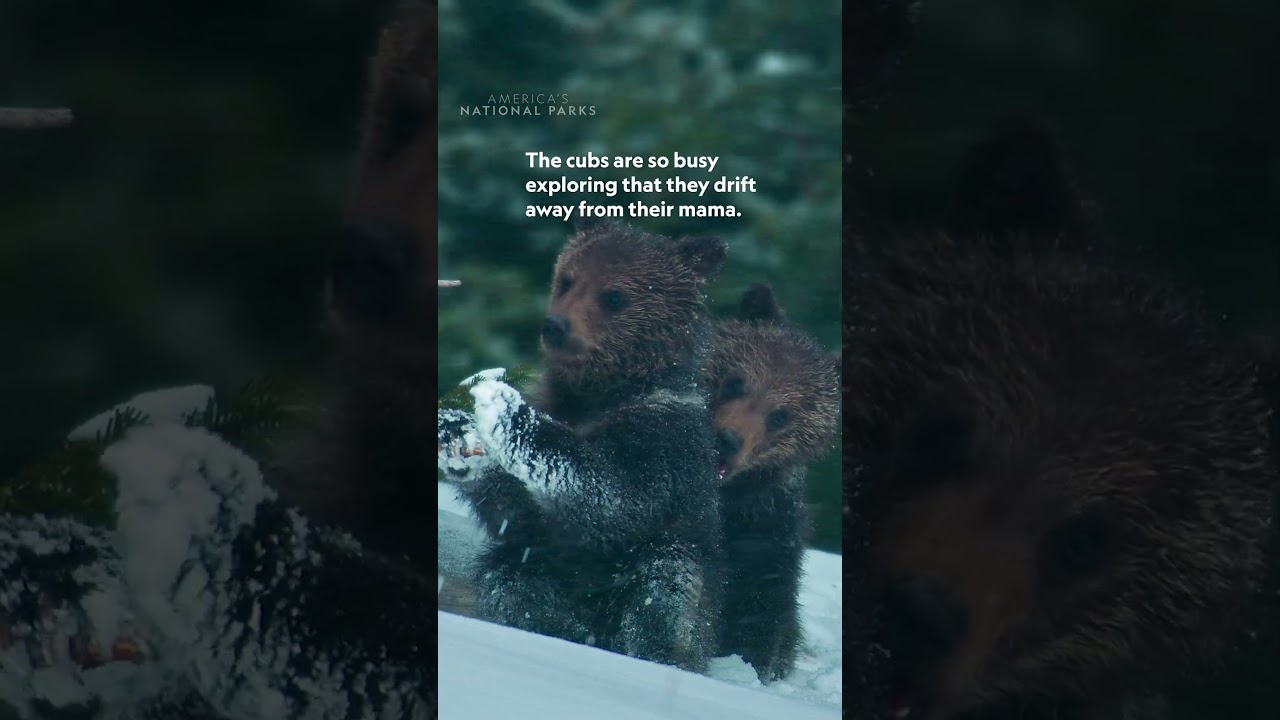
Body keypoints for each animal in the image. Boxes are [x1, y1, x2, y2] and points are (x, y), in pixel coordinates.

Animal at [437, 220, 728, 673]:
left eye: (615, 295)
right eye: (567, 279)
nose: (555, 326)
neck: (598, 394)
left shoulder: (662, 438)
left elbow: (611, 493)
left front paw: (506, 409)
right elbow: (513, 510)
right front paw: (459, 439)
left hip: (694, 599)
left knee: (669, 573)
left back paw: (657, 651)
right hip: (551, 570)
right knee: (512, 578)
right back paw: (559, 629)